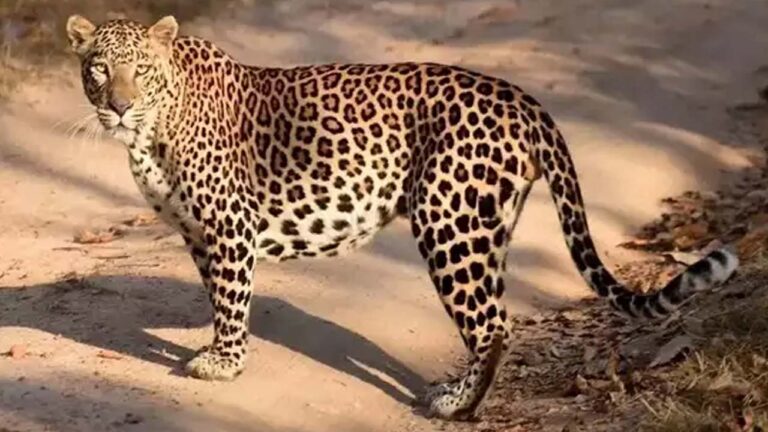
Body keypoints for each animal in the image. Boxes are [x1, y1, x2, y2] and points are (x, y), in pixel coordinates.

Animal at [65, 15, 739, 420]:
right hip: (487, 225)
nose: (119, 108)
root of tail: (523, 100)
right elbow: (216, 296)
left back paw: (455, 405)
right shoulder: (200, 234)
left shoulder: (228, 226)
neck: (151, 131)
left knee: (493, 325)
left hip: (449, 223)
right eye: (99, 68)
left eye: (139, 71)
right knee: (494, 314)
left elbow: (231, 299)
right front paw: (219, 353)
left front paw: (223, 364)